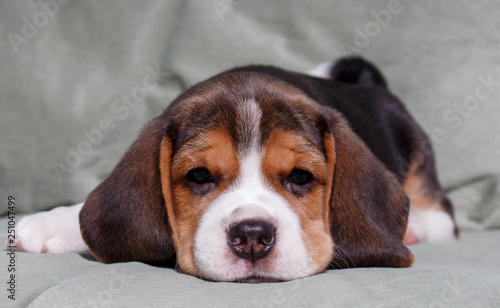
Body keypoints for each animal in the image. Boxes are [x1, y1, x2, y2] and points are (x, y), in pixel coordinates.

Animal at [13, 57, 458, 282]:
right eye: (199, 176)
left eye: (300, 177)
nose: (252, 237)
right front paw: (50, 224)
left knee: (443, 220)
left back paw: (415, 228)